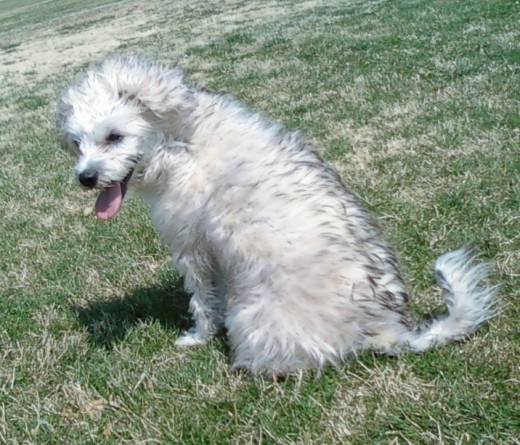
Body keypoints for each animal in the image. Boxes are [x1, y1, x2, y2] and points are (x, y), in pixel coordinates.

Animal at [57, 55, 496, 374]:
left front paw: (197, 337)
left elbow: (201, 301)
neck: (182, 141)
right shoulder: (213, 250)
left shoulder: (190, 246)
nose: (85, 177)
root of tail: (386, 328)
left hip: (253, 318)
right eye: (77, 143)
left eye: (115, 137)